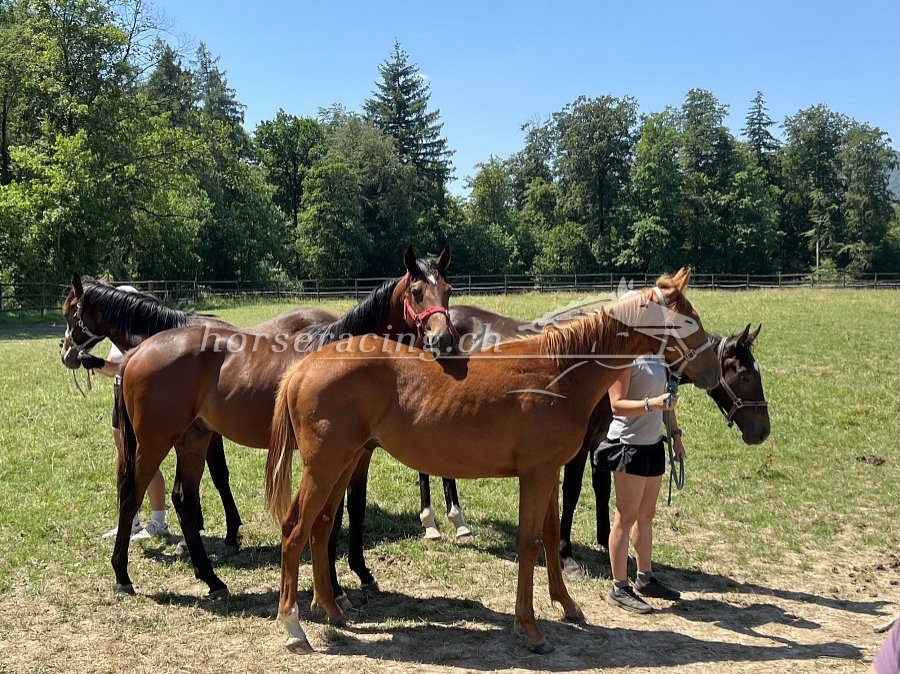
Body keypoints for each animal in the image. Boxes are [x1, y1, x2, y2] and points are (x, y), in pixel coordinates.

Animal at [111, 247, 455, 599]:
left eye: (448, 291)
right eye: (417, 292)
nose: (442, 339)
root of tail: (138, 352)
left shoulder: (361, 454)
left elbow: (355, 509)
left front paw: (362, 573)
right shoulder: (332, 457)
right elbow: (330, 517)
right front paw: (334, 587)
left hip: (193, 438)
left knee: (184, 501)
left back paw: (212, 580)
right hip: (155, 442)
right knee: (131, 494)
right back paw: (123, 576)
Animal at [265, 269, 721, 654]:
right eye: (688, 319)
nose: (714, 372)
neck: (559, 371)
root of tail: (304, 367)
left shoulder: (548, 473)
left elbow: (549, 537)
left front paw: (567, 605)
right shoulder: (536, 474)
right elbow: (529, 543)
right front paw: (530, 628)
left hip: (343, 465)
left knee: (321, 528)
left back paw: (333, 610)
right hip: (325, 469)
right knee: (295, 530)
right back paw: (294, 627)